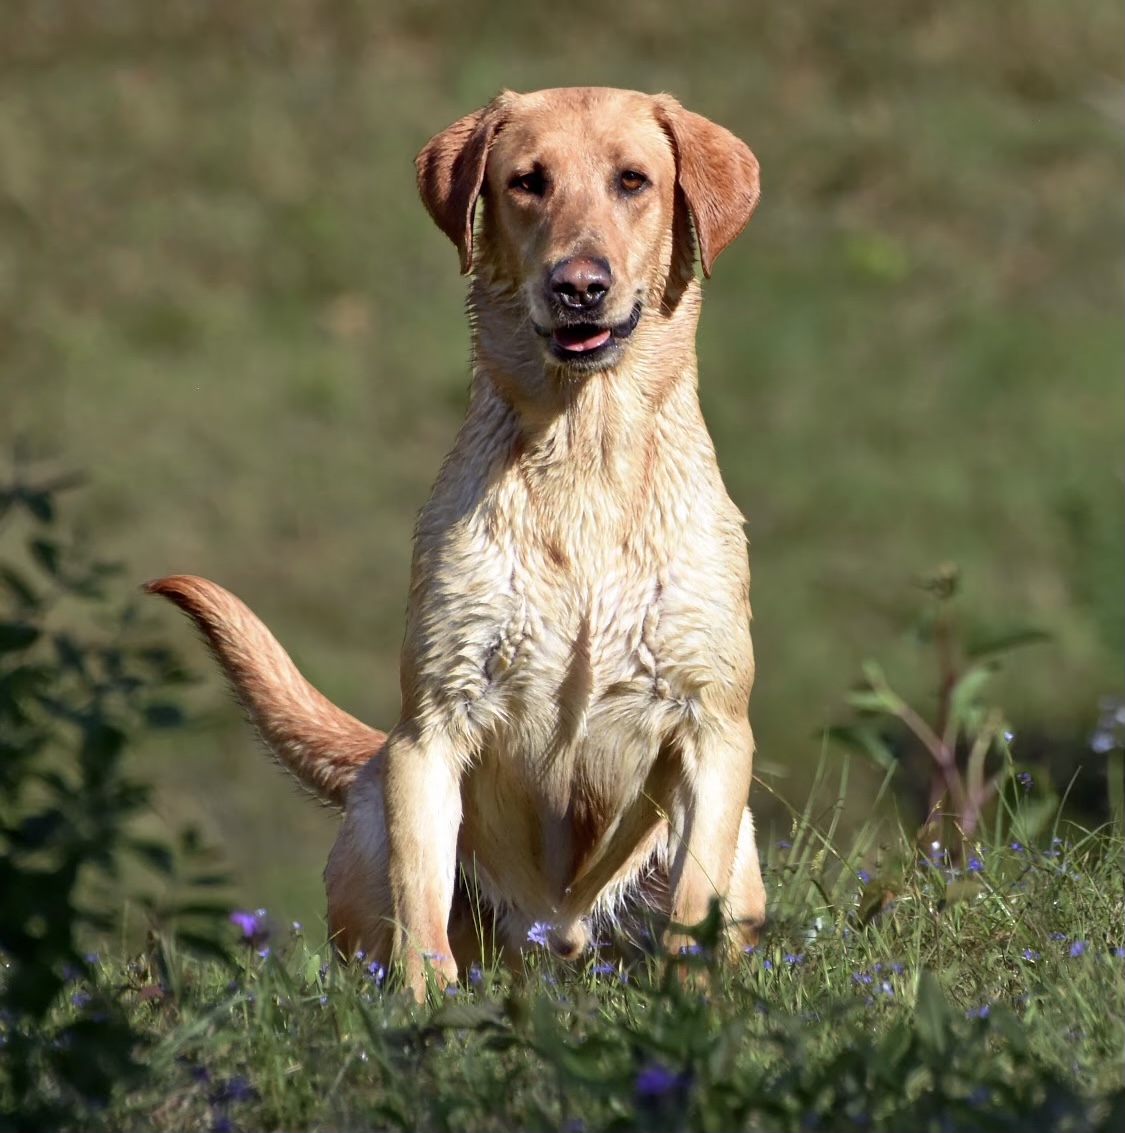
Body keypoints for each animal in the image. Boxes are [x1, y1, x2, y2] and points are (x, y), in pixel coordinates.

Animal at [147, 88, 765, 997]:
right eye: (527, 181)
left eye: (632, 180)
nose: (578, 286)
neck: (582, 451)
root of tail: (559, 939)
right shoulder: (434, 723)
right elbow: (422, 915)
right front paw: (424, 1010)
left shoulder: (713, 725)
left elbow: (692, 907)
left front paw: (690, 1007)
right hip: (375, 820)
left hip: (745, 856)